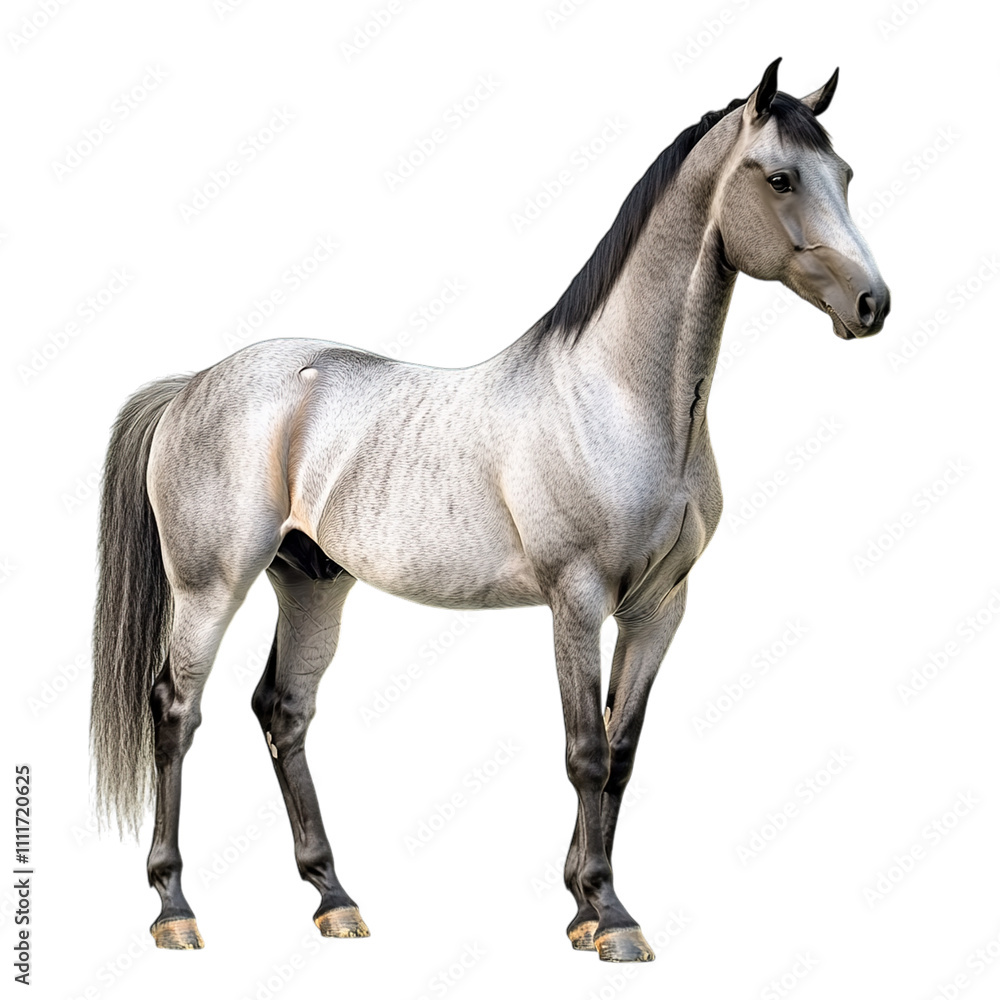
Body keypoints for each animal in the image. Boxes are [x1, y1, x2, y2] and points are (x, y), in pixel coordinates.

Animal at [90, 58, 890, 962]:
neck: (619, 400)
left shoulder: (659, 609)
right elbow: (585, 754)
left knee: (283, 711)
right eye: (781, 177)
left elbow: (621, 752)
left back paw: (334, 899)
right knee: (175, 710)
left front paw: (585, 909)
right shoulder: (576, 600)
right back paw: (174, 909)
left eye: (845, 175)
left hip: (312, 583)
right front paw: (610, 920)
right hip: (208, 587)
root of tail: (192, 384)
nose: (872, 303)